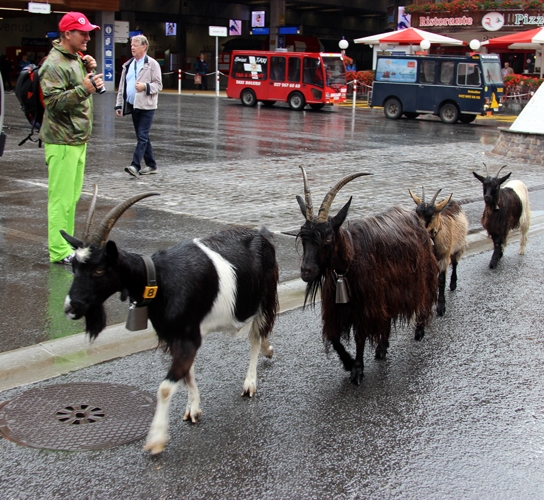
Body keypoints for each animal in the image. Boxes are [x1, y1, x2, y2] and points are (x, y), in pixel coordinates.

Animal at [61, 189, 278, 456]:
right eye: (74, 266)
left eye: (99, 270)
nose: (71, 307)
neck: (159, 280)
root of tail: (262, 234)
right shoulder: (175, 337)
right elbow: (187, 374)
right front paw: (193, 409)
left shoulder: (188, 338)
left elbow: (165, 387)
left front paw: (156, 439)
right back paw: (268, 350)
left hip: (265, 297)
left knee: (255, 336)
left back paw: (250, 383)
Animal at [296, 166, 440, 384]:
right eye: (304, 237)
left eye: (328, 238)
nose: (306, 271)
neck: (347, 266)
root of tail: (416, 218)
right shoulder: (337, 306)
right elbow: (334, 336)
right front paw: (348, 362)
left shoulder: (367, 304)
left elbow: (360, 337)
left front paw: (357, 369)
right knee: (387, 317)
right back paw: (382, 347)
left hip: (421, 274)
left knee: (424, 298)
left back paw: (419, 330)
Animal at [408, 186, 468, 318]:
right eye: (416, 213)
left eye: (432, 216)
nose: (417, 230)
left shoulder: (444, 257)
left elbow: (441, 280)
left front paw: (441, 307)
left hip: (459, 246)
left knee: (455, 263)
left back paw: (453, 284)